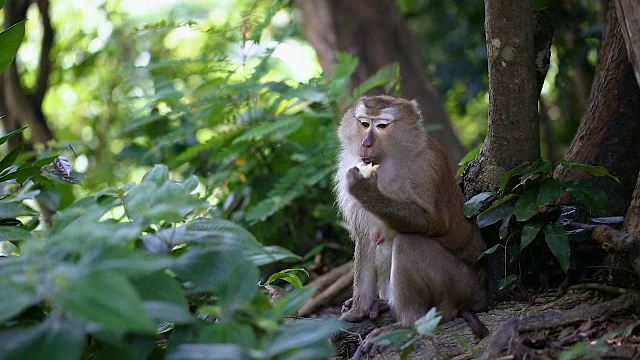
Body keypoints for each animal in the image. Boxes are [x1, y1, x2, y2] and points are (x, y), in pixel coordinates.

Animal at [332, 94, 488, 356]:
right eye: (364, 123)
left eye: (381, 126)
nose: (366, 143)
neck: (389, 161)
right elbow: (365, 240)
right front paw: (357, 310)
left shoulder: (429, 166)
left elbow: (435, 223)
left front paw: (367, 191)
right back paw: (383, 304)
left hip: (458, 284)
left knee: (408, 242)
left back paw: (406, 324)